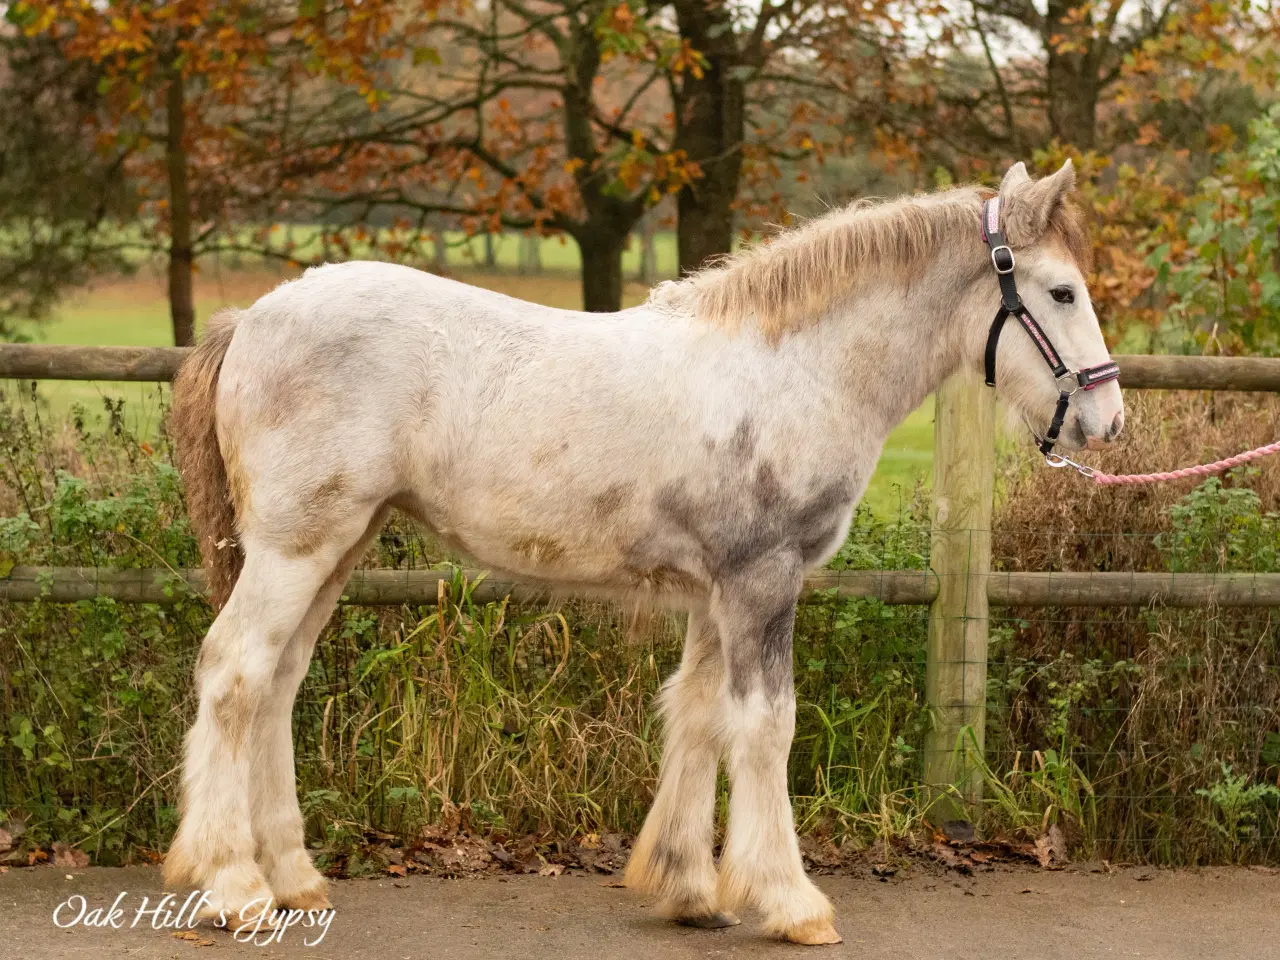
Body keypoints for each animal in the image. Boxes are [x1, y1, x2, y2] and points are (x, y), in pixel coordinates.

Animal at [167, 160, 1121, 947]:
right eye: (1062, 293)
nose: (1107, 422)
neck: (794, 370)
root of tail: (251, 318)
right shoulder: (763, 582)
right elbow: (767, 726)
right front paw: (791, 901)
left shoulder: (715, 593)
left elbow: (697, 714)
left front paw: (688, 888)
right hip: (296, 550)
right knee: (235, 672)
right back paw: (234, 887)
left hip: (335, 549)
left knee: (279, 682)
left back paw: (294, 878)